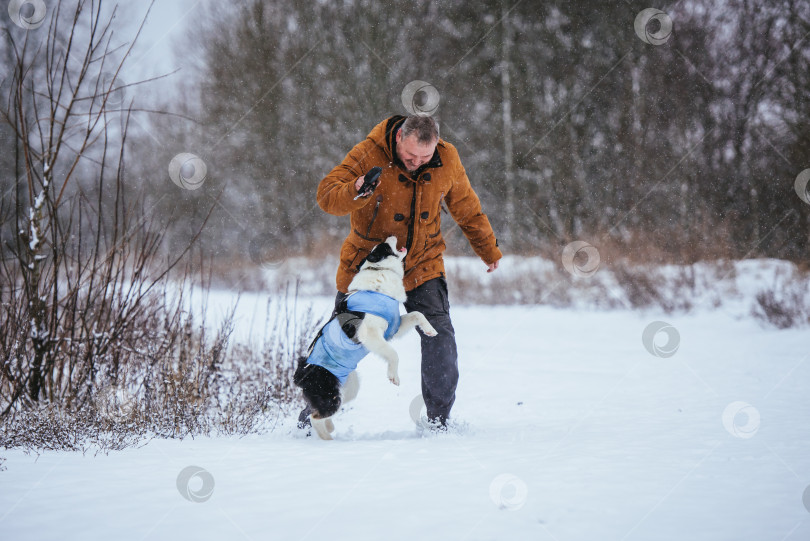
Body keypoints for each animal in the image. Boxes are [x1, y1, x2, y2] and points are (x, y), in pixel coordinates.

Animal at [292, 235, 436, 438]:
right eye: (384, 246)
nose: (390, 235)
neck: (380, 271)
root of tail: (301, 373)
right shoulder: (370, 335)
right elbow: (393, 354)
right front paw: (393, 376)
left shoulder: (392, 328)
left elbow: (418, 314)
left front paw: (430, 330)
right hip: (330, 396)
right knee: (315, 418)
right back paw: (328, 439)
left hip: (349, 388)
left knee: (319, 414)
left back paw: (330, 428)